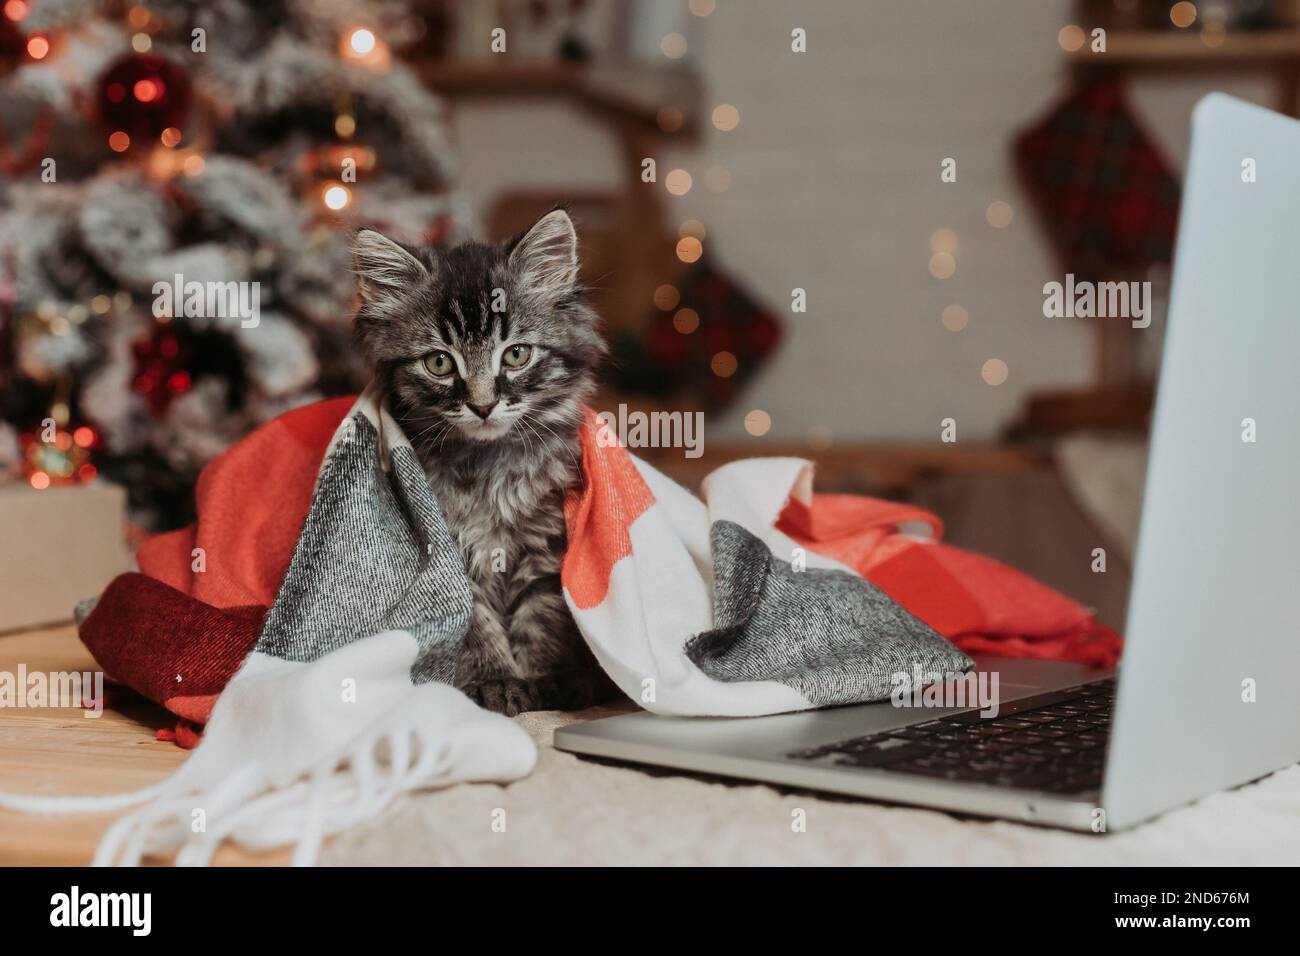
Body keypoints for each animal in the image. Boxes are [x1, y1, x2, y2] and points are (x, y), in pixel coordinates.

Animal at [351, 210, 618, 717]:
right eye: (439, 363)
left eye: (516, 354)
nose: (482, 405)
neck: (491, 465)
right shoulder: (449, 548)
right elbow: (476, 627)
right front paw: (495, 682)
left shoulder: (546, 548)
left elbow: (543, 621)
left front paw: (548, 682)